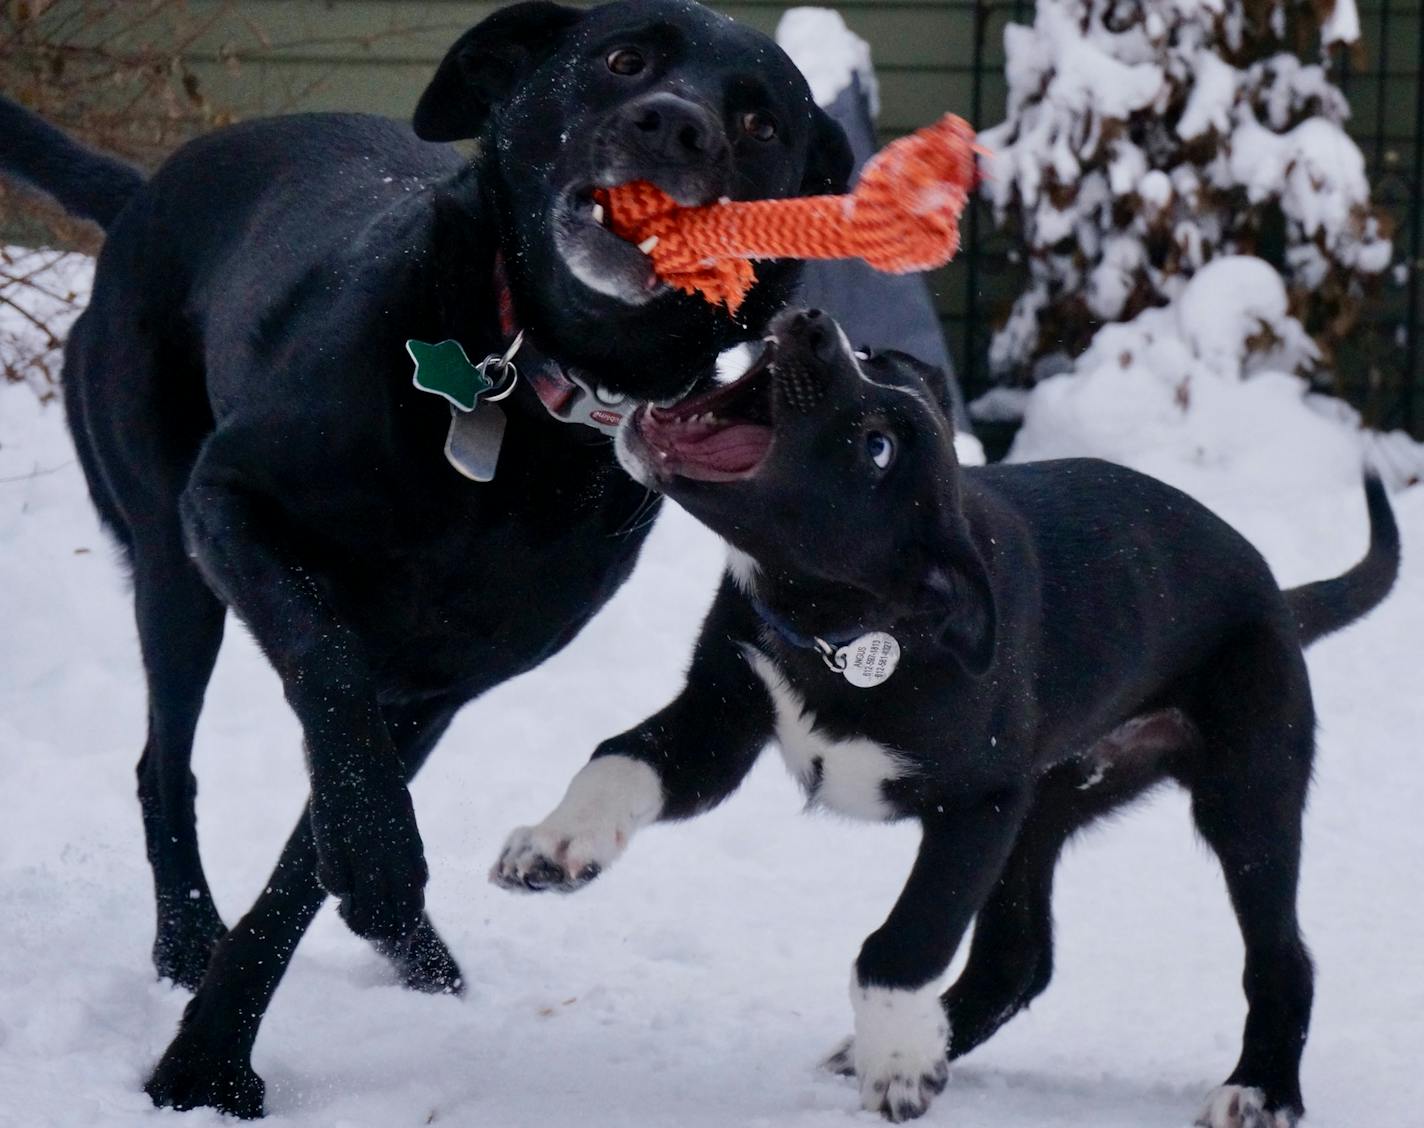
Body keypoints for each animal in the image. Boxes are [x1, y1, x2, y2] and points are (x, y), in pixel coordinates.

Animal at [0, 2, 848, 1116]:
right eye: (624, 58)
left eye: (757, 122)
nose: (675, 126)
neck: (530, 384)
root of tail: (143, 194)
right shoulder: (231, 506)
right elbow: (328, 684)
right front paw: (208, 1060)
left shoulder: (442, 683)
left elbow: (301, 869)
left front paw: (220, 1050)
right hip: (170, 559)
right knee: (164, 762)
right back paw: (186, 937)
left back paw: (413, 950)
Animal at [492, 303, 1401, 1122]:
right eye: (867, 358)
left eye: (877, 449)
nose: (814, 321)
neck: (849, 629)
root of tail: (1276, 593)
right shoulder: (722, 715)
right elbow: (620, 756)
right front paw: (555, 844)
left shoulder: (978, 803)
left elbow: (903, 942)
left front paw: (900, 1063)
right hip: (1047, 806)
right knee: (1019, 957)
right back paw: (932, 1040)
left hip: (1244, 788)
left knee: (1280, 953)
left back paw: (1260, 1089)